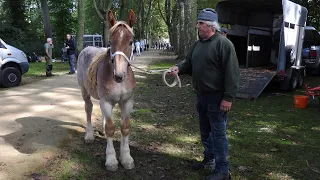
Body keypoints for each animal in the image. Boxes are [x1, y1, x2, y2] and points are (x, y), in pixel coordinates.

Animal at [77, 10, 138, 172]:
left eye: (131, 42)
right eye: (110, 42)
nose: (119, 75)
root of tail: (85, 48)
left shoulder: (127, 102)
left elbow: (125, 127)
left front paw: (126, 158)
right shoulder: (106, 101)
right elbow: (111, 128)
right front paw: (111, 160)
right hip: (84, 90)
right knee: (89, 108)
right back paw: (89, 135)